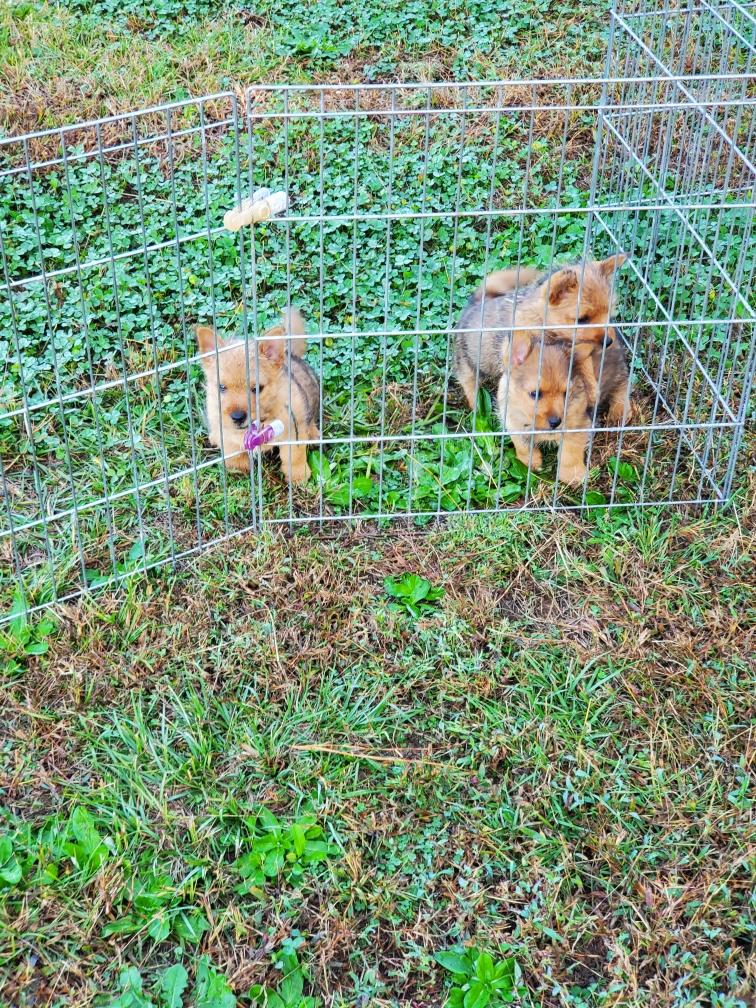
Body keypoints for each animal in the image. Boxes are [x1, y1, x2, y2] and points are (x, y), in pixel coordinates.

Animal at [195, 309, 320, 485]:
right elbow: (232, 450)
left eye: (257, 388)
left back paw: (314, 434)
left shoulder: (293, 431)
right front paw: (239, 468)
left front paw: (298, 476)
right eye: (221, 387)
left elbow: (294, 456)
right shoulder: (226, 431)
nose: (237, 417)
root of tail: (291, 354)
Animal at [454, 254, 626, 412]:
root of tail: (476, 303)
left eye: (608, 313)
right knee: (468, 381)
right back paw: (477, 407)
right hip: (468, 363)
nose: (609, 341)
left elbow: (585, 366)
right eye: (582, 319)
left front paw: (592, 389)